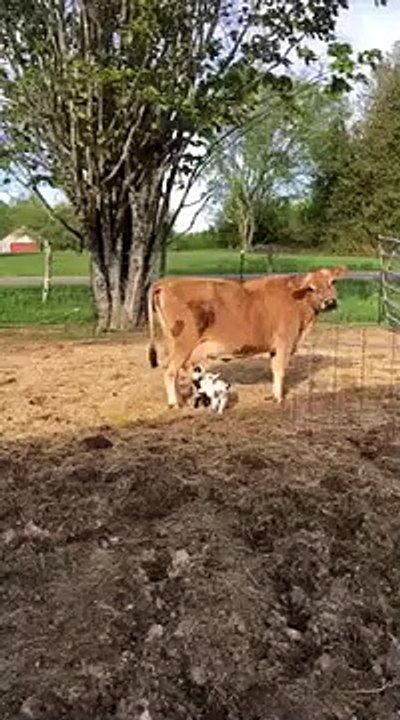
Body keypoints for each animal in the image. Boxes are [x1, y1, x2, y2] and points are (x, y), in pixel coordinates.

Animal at [147, 267, 347, 408]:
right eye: (311, 288)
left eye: (333, 282)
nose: (330, 302)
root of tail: (166, 282)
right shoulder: (284, 343)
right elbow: (280, 371)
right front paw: (279, 398)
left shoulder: (275, 348)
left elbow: (274, 370)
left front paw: (273, 396)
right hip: (183, 343)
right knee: (170, 370)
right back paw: (174, 403)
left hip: (173, 343)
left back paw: (181, 399)